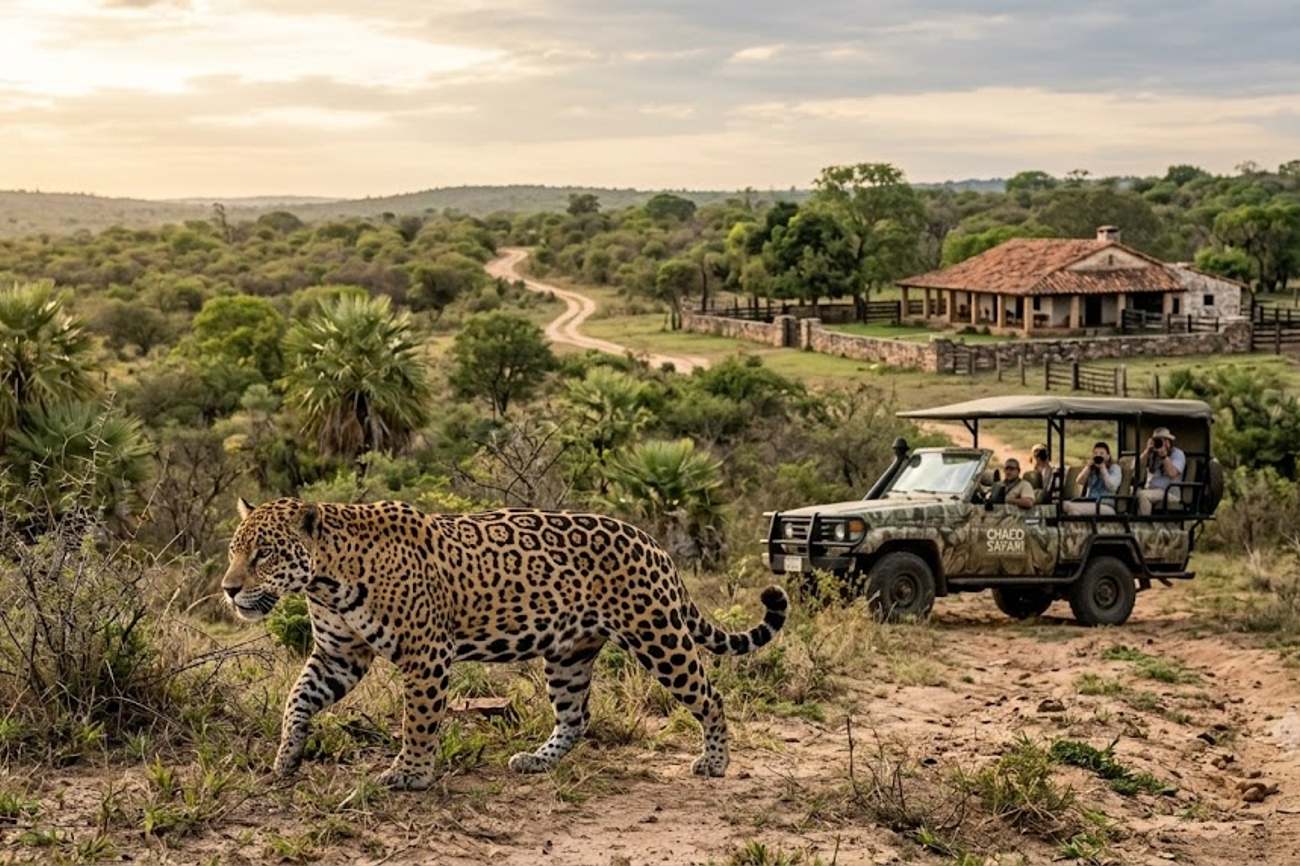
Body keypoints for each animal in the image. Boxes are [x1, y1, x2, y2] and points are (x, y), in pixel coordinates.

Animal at [221, 497, 788, 790]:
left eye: (265, 553)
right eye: (233, 550)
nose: (228, 589)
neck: (327, 579)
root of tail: (653, 543)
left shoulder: (426, 654)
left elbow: (418, 721)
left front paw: (411, 774)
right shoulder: (339, 655)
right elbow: (297, 699)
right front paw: (286, 759)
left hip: (657, 634)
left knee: (710, 696)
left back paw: (715, 762)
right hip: (568, 653)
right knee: (576, 716)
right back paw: (536, 761)